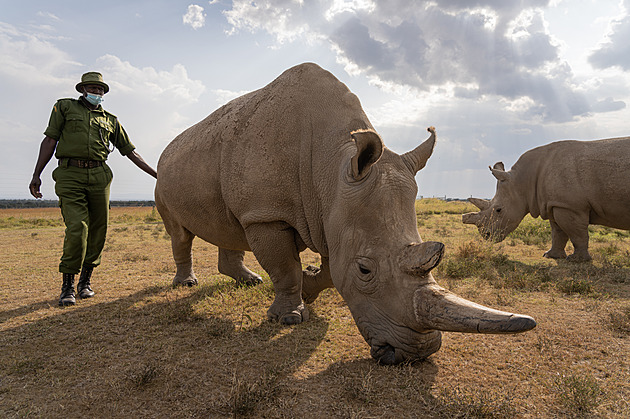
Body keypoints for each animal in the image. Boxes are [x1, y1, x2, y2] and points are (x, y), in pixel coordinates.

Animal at [156, 61, 536, 364]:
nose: (414, 354)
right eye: (366, 270)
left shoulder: (331, 212)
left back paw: (249, 281)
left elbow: (329, 270)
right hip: (165, 173)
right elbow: (284, 268)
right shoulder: (267, 214)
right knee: (179, 233)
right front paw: (289, 318)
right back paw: (186, 284)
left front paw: (309, 285)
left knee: (230, 226)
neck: (330, 163)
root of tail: (167, 149)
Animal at [462, 138, 630, 262]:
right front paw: (550, 256)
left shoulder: (571, 206)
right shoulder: (556, 204)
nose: (486, 235)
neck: (523, 181)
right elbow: (558, 232)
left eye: (498, 210)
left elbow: (577, 233)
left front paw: (577, 260)